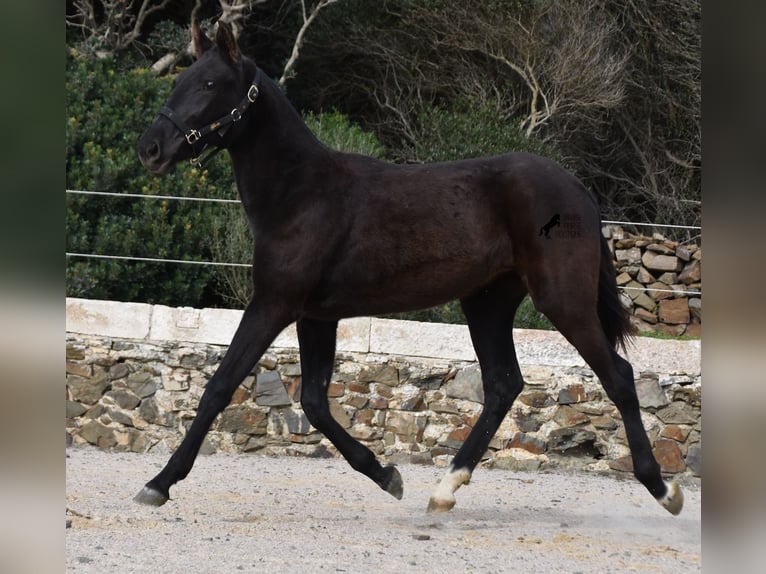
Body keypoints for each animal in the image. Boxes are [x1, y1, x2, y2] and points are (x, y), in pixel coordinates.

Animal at [136, 21, 684, 516]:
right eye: (183, 78)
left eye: (211, 84)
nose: (151, 148)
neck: (302, 195)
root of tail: (579, 192)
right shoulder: (316, 315)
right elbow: (314, 402)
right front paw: (387, 475)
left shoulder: (274, 304)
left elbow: (220, 388)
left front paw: (158, 483)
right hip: (487, 302)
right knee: (504, 384)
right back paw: (445, 489)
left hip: (561, 299)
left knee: (618, 376)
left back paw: (664, 490)